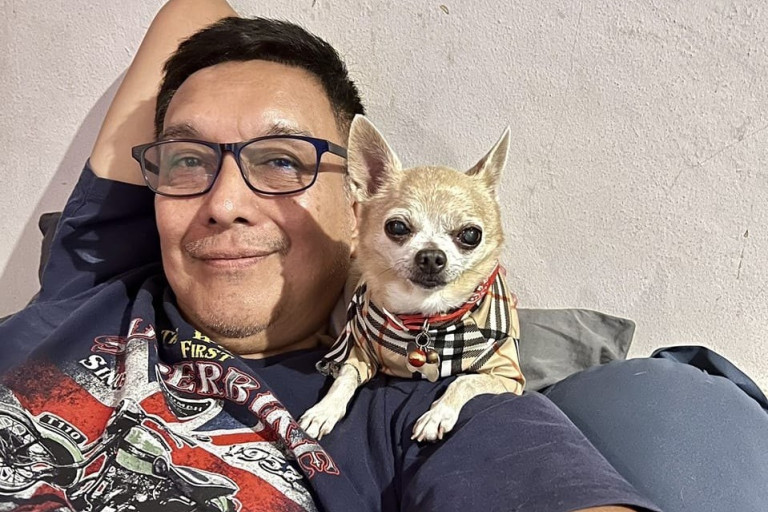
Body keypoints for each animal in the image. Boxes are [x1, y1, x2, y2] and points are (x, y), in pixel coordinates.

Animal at [299, 115, 525, 443]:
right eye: (397, 227)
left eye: (471, 234)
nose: (430, 256)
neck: (424, 319)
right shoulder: (359, 353)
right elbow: (344, 377)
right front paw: (324, 410)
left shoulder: (507, 374)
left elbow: (464, 382)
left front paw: (437, 415)